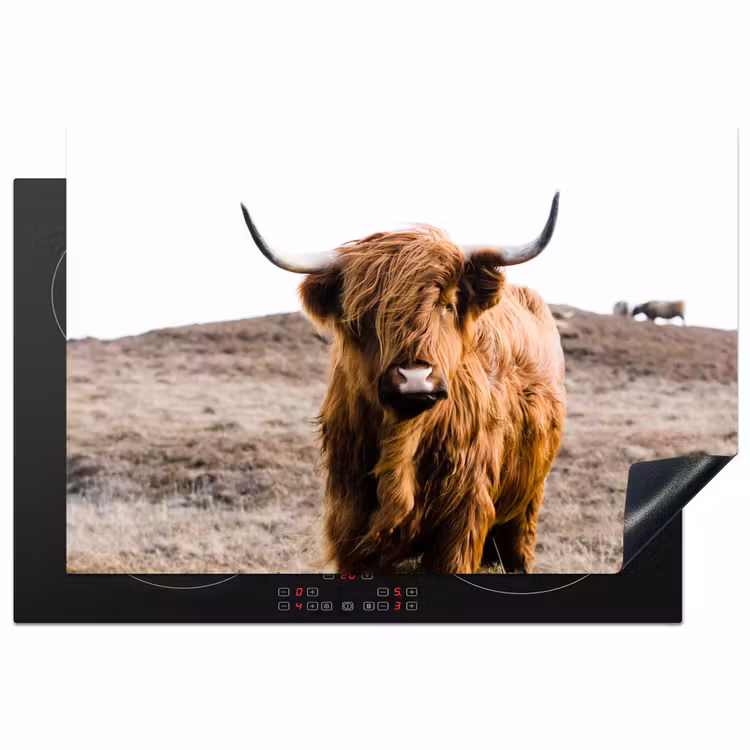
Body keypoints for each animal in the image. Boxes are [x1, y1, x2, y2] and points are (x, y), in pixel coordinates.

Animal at [241, 194, 565, 574]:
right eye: (363, 314)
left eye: (448, 304)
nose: (414, 379)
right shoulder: (348, 521)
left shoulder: (463, 520)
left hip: (527, 504)